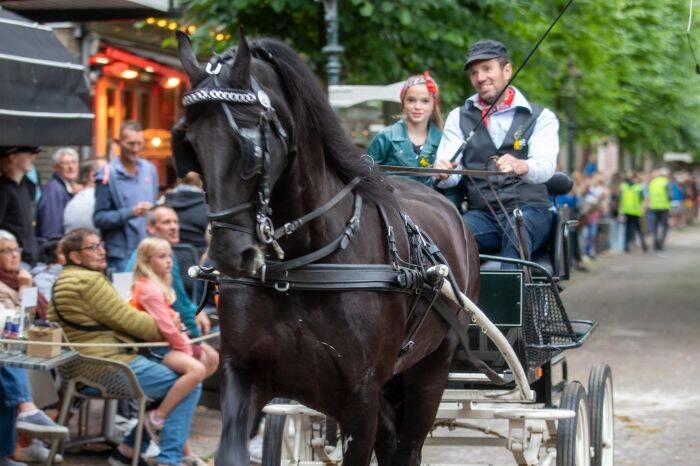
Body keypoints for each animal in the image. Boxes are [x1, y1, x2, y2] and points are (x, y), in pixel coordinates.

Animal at [175, 32, 482, 466]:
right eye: (190, 144)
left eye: (250, 141)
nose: (228, 254)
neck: (303, 266)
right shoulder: (244, 373)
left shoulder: (360, 397)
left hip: (432, 366)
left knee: (408, 446)